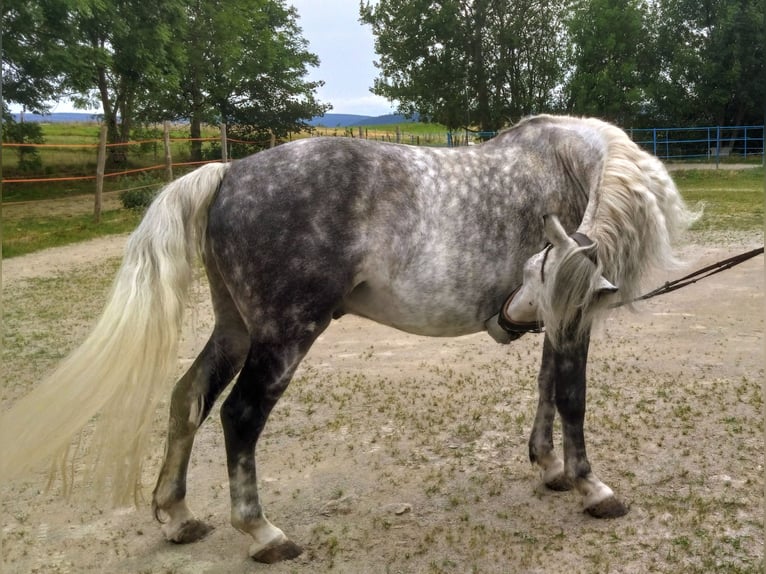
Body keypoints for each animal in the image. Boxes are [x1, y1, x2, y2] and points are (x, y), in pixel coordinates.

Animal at [1, 115, 696, 564]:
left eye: (532, 274)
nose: (505, 318)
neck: (574, 166)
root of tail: (229, 173)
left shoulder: (557, 316)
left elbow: (548, 387)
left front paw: (549, 468)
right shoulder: (574, 315)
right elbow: (573, 396)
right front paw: (591, 487)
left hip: (236, 329)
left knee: (188, 398)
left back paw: (176, 516)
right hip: (283, 337)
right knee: (239, 415)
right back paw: (263, 534)